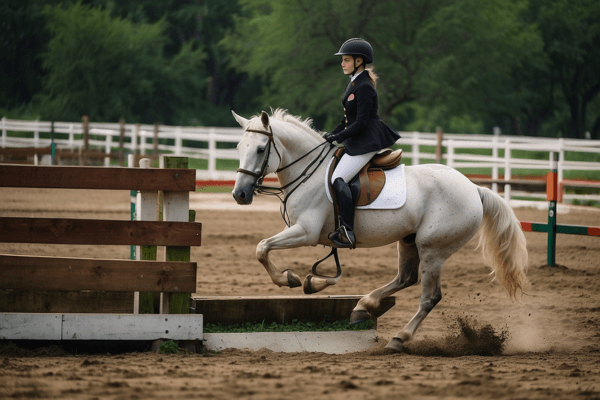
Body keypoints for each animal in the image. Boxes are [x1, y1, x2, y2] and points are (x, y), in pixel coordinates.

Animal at [230, 109, 524, 354]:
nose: (239, 195)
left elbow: (262, 247)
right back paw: (363, 306)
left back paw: (398, 339)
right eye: (239, 148)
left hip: (433, 249)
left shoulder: (306, 233)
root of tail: (474, 188)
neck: (307, 173)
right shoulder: (297, 230)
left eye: (260, 149)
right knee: (405, 278)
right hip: (409, 241)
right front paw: (311, 282)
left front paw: (288, 279)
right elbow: (263, 248)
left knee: (429, 297)